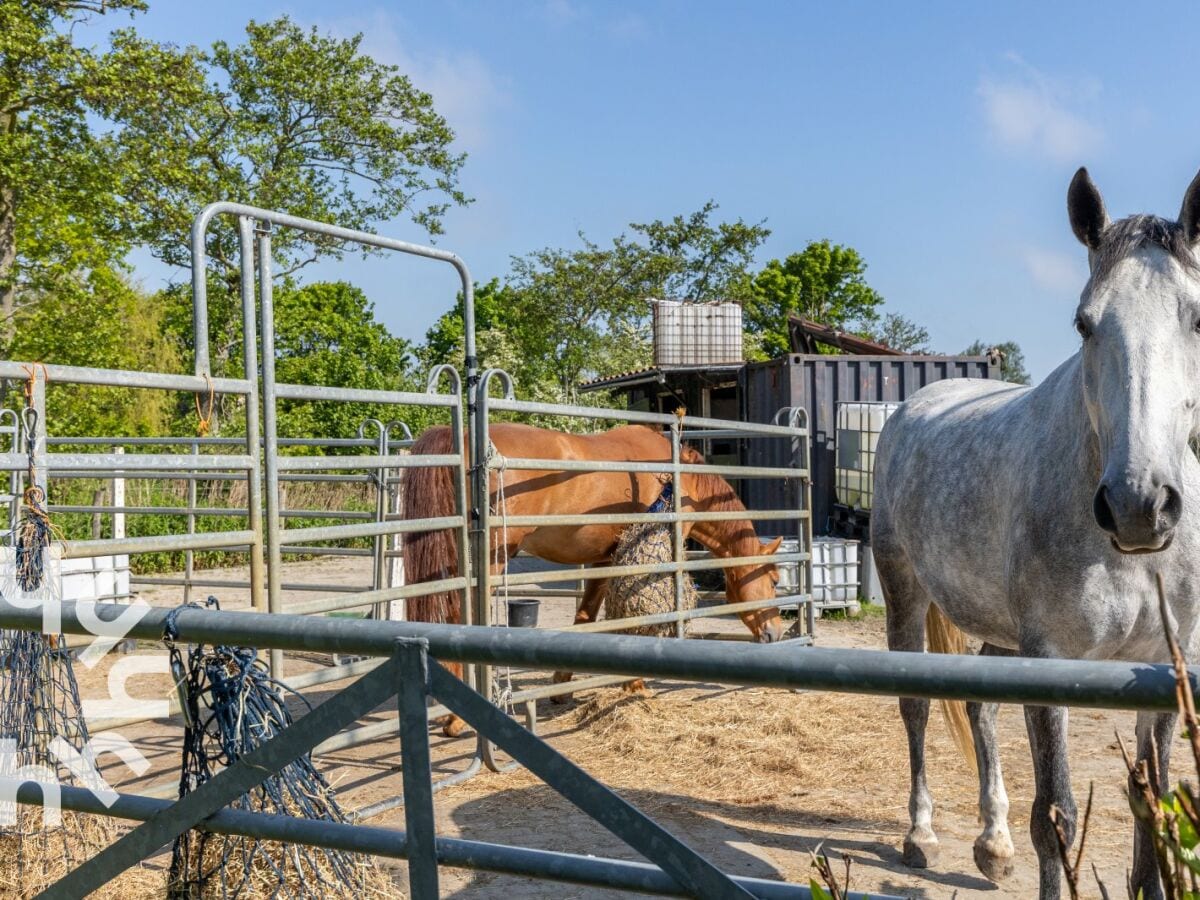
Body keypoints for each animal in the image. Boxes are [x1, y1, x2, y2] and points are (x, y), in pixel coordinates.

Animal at [405, 427, 787, 734]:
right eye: (773, 580)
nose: (776, 633)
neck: (678, 482)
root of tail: (463, 435)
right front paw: (634, 684)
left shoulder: (603, 558)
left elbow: (585, 617)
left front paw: (562, 685)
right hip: (494, 557)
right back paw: (456, 718)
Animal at [873, 165, 1200, 897]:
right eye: (1084, 323)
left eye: (1197, 316)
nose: (1139, 505)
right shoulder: (1050, 661)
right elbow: (1055, 818)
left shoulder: (1162, 673)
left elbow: (1154, 810)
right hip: (903, 589)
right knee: (914, 708)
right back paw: (921, 835)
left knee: (980, 709)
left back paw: (992, 845)